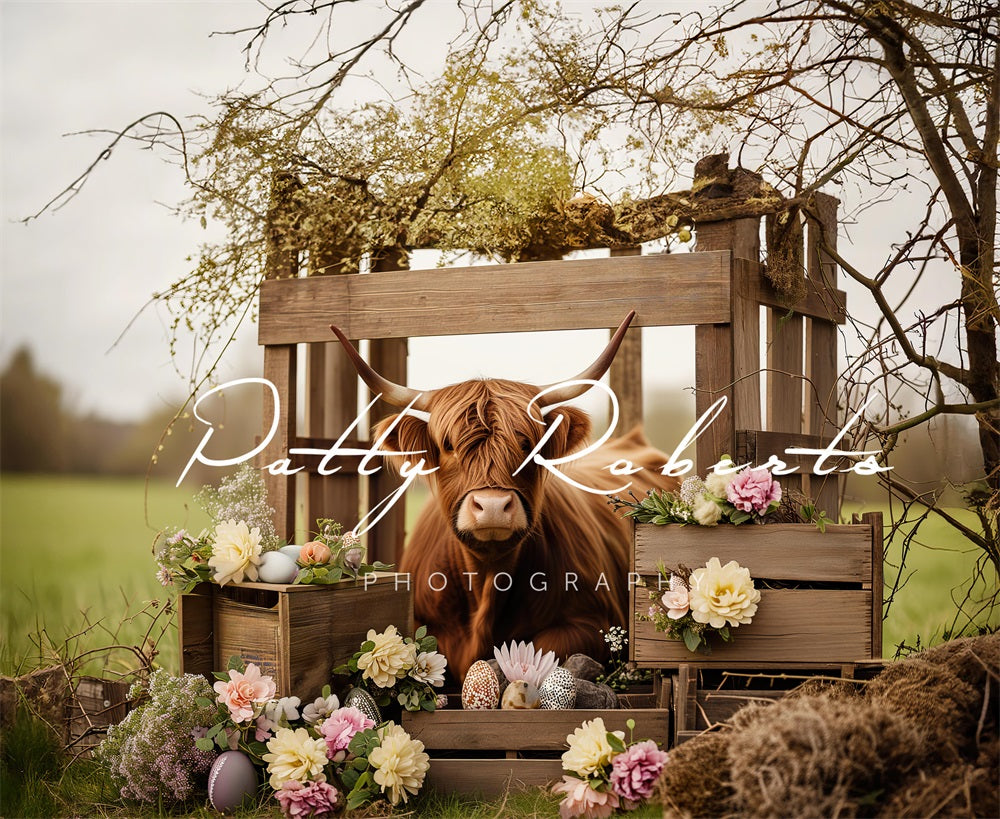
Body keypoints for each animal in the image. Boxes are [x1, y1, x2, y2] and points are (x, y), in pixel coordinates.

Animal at [330, 313, 679, 678]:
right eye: (448, 445)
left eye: (528, 444)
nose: (493, 506)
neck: (486, 578)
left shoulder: (593, 621)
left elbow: (540, 649)